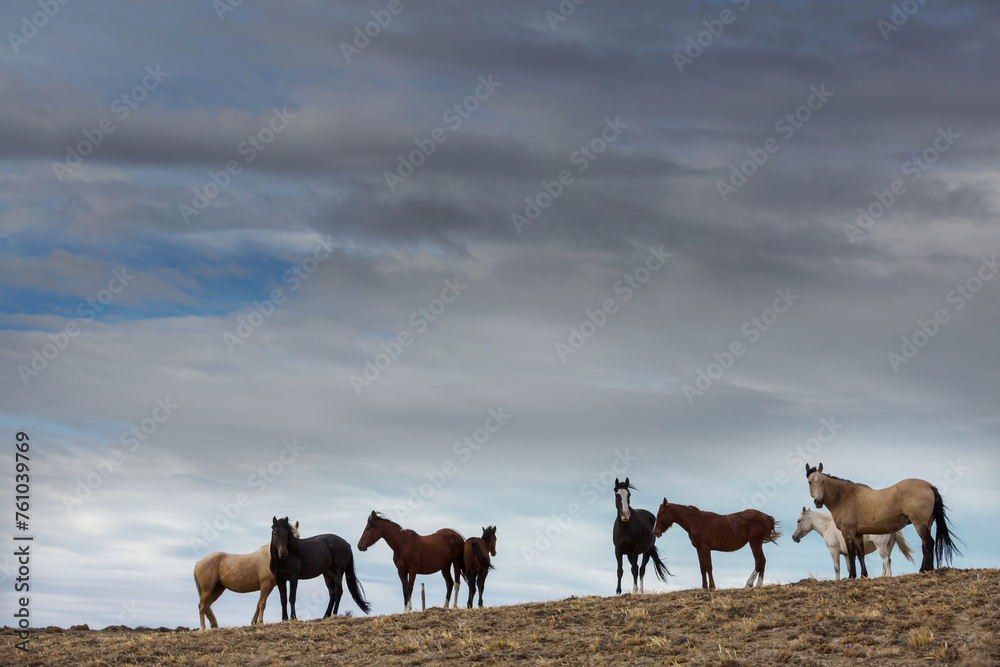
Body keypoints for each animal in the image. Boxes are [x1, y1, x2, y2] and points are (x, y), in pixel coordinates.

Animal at [806, 463, 962, 578]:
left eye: (823, 481)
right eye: (810, 482)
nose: (818, 501)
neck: (844, 496)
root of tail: (929, 485)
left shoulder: (847, 532)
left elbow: (851, 554)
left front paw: (852, 576)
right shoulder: (858, 534)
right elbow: (860, 554)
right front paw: (863, 575)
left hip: (919, 524)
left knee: (929, 543)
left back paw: (925, 570)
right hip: (927, 524)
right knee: (925, 545)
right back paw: (924, 569)